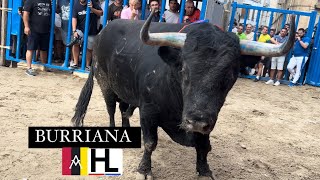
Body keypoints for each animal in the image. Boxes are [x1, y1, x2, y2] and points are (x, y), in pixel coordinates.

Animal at [70, 10, 296, 179]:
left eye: (231, 74)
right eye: (184, 69)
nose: (196, 120)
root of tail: (102, 33)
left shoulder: (207, 120)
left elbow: (203, 146)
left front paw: (204, 171)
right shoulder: (148, 111)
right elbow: (150, 143)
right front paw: (144, 170)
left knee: (124, 110)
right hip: (106, 84)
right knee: (111, 109)